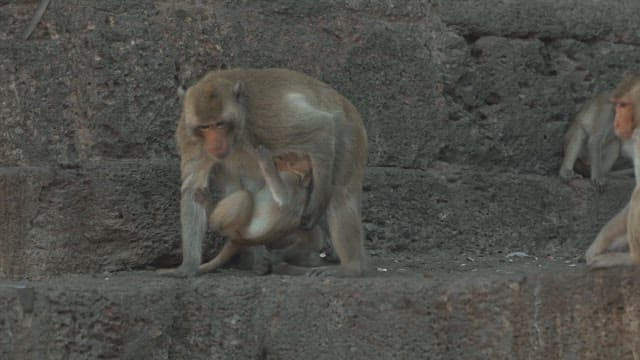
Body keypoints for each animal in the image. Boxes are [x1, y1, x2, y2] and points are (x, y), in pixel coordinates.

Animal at [160, 69, 368, 278]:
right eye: (205, 127)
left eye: (219, 124)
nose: (215, 144)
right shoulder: (189, 135)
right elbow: (192, 188)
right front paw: (188, 267)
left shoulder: (265, 118)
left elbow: (320, 128)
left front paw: (318, 201)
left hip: (349, 133)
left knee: (340, 193)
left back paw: (350, 266)